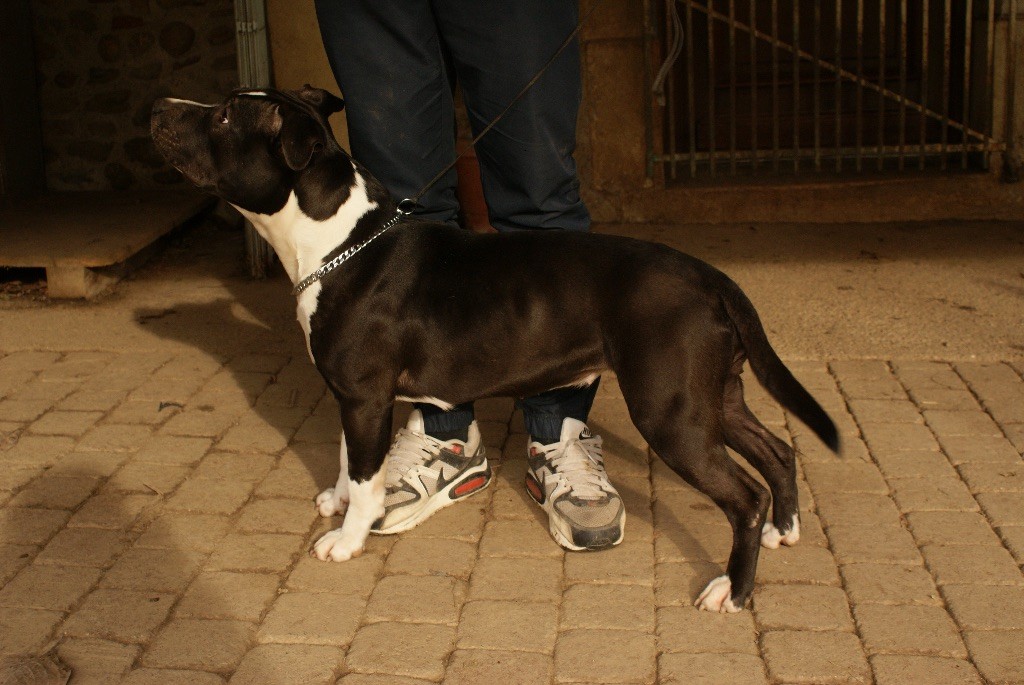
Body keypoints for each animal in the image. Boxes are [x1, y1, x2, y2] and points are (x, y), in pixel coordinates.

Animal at [151, 86, 839, 613]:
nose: (159, 106)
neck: (338, 242)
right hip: (713, 397)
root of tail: (711, 276)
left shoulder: (367, 397)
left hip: (672, 414)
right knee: (778, 451)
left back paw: (734, 590)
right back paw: (784, 530)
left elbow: (371, 476)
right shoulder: (351, 396)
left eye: (223, 115)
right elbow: (351, 458)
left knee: (743, 496)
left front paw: (348, 539)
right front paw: (338, 501)